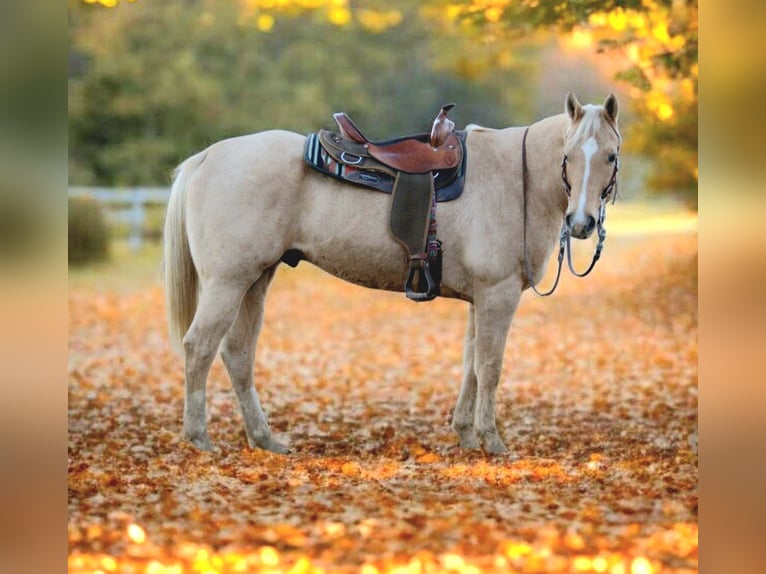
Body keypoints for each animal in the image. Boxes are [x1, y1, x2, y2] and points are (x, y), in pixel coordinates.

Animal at [163, 92, 621, 455]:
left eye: (610, 156)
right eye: (568, 155)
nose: (581, 223)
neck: (517, 179)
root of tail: (207, 157)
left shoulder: (482, 299)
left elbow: (471, 364)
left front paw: (465, 434)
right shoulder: (498, 295)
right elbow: (490, 366)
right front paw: (492, 441)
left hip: (254, 283)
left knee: (238, 354)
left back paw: (265, 439)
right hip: (228, 283)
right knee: (199, 347)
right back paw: (199, 437)